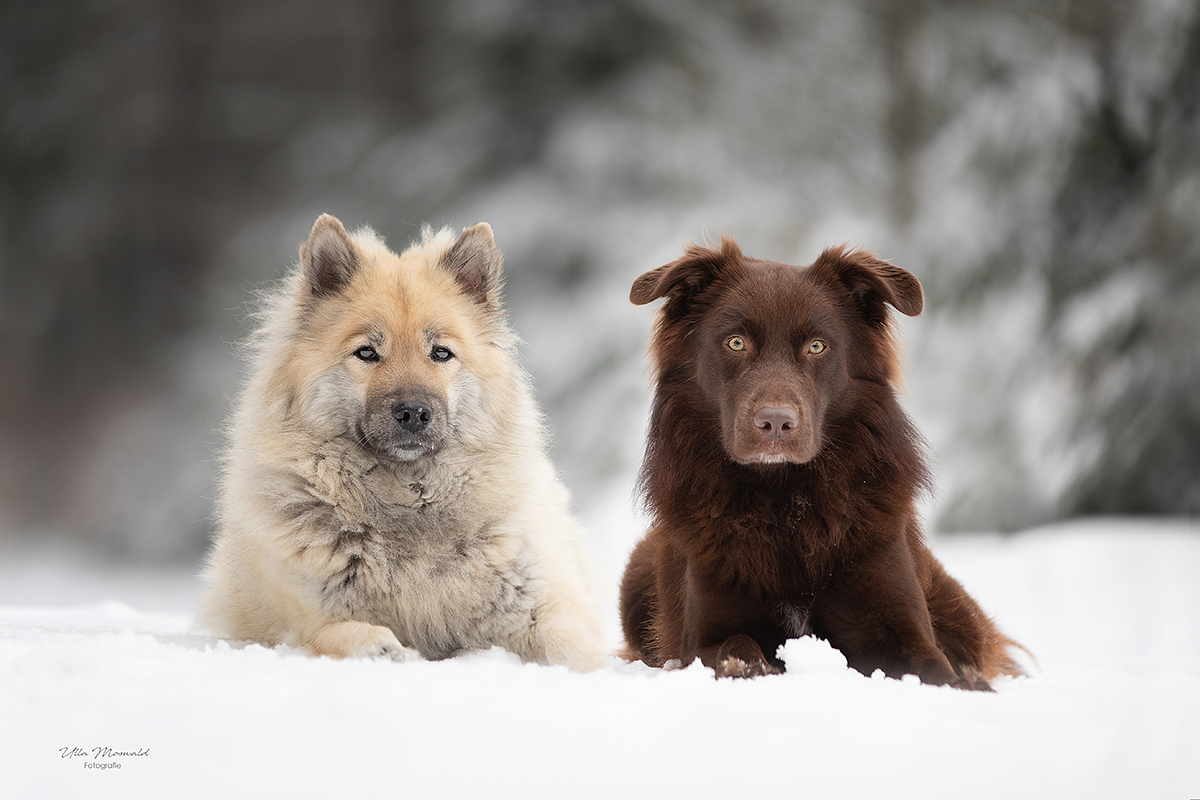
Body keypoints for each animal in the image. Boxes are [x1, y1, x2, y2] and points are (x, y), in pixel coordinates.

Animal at [202, 215, 609, 671]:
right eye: (366, 352)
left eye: (440, 353)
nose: (413, 413)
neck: (412, 506)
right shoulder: (313, 618)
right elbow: (347, 632)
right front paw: (385, 649)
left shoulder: (546, 604)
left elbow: (570, 642)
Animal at [619, 236, 1022, 690]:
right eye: (736, 342)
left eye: (817, 346)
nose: (776, 423)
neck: (786, 501)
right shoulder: (701, 637)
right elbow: (734, 647)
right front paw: (756, 669)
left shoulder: (901, 622)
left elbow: (937, 669)